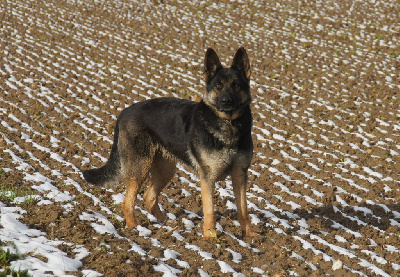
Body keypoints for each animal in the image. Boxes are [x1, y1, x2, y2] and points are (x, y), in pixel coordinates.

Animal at [82, 46, 258, 238]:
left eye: (236, 85)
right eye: (218, 86)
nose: (226, 101)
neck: (229, 124)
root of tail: (123, 112)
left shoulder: (240, 175)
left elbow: (243, 210)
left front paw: (249, 235)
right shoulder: (208, 177)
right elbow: (210, 210)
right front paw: (210, 237)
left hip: (166, 169)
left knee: (149, 196)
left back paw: (167, 225)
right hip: (141, 167)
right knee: (128, 201)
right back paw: (136, 230)